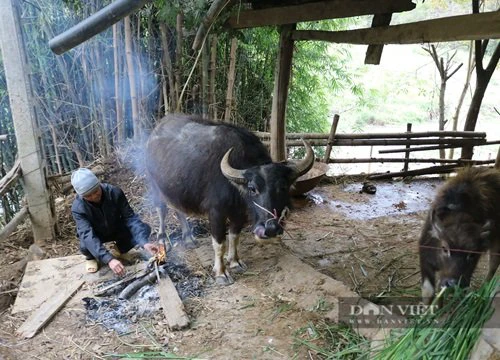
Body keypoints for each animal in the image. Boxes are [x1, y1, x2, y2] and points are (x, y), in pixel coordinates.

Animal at [146, 114, 314, 286]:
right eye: (252, 188)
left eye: (284, 187)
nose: (271, 228)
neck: (233, 186)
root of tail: (154, 133)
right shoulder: (216, 212)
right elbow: (220, 243)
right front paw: (221, 273)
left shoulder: (239, 212)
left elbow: (234, 237)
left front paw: (234, 262)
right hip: (154, 186)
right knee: (161, 210)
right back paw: (162, 241)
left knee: (179, 210)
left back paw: (188, 238)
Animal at [420, 166, 498, 304]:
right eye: (444, 248)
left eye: (472, 254)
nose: (453, 283)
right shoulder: (425, 256)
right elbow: (429, 291)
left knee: (492, 267)